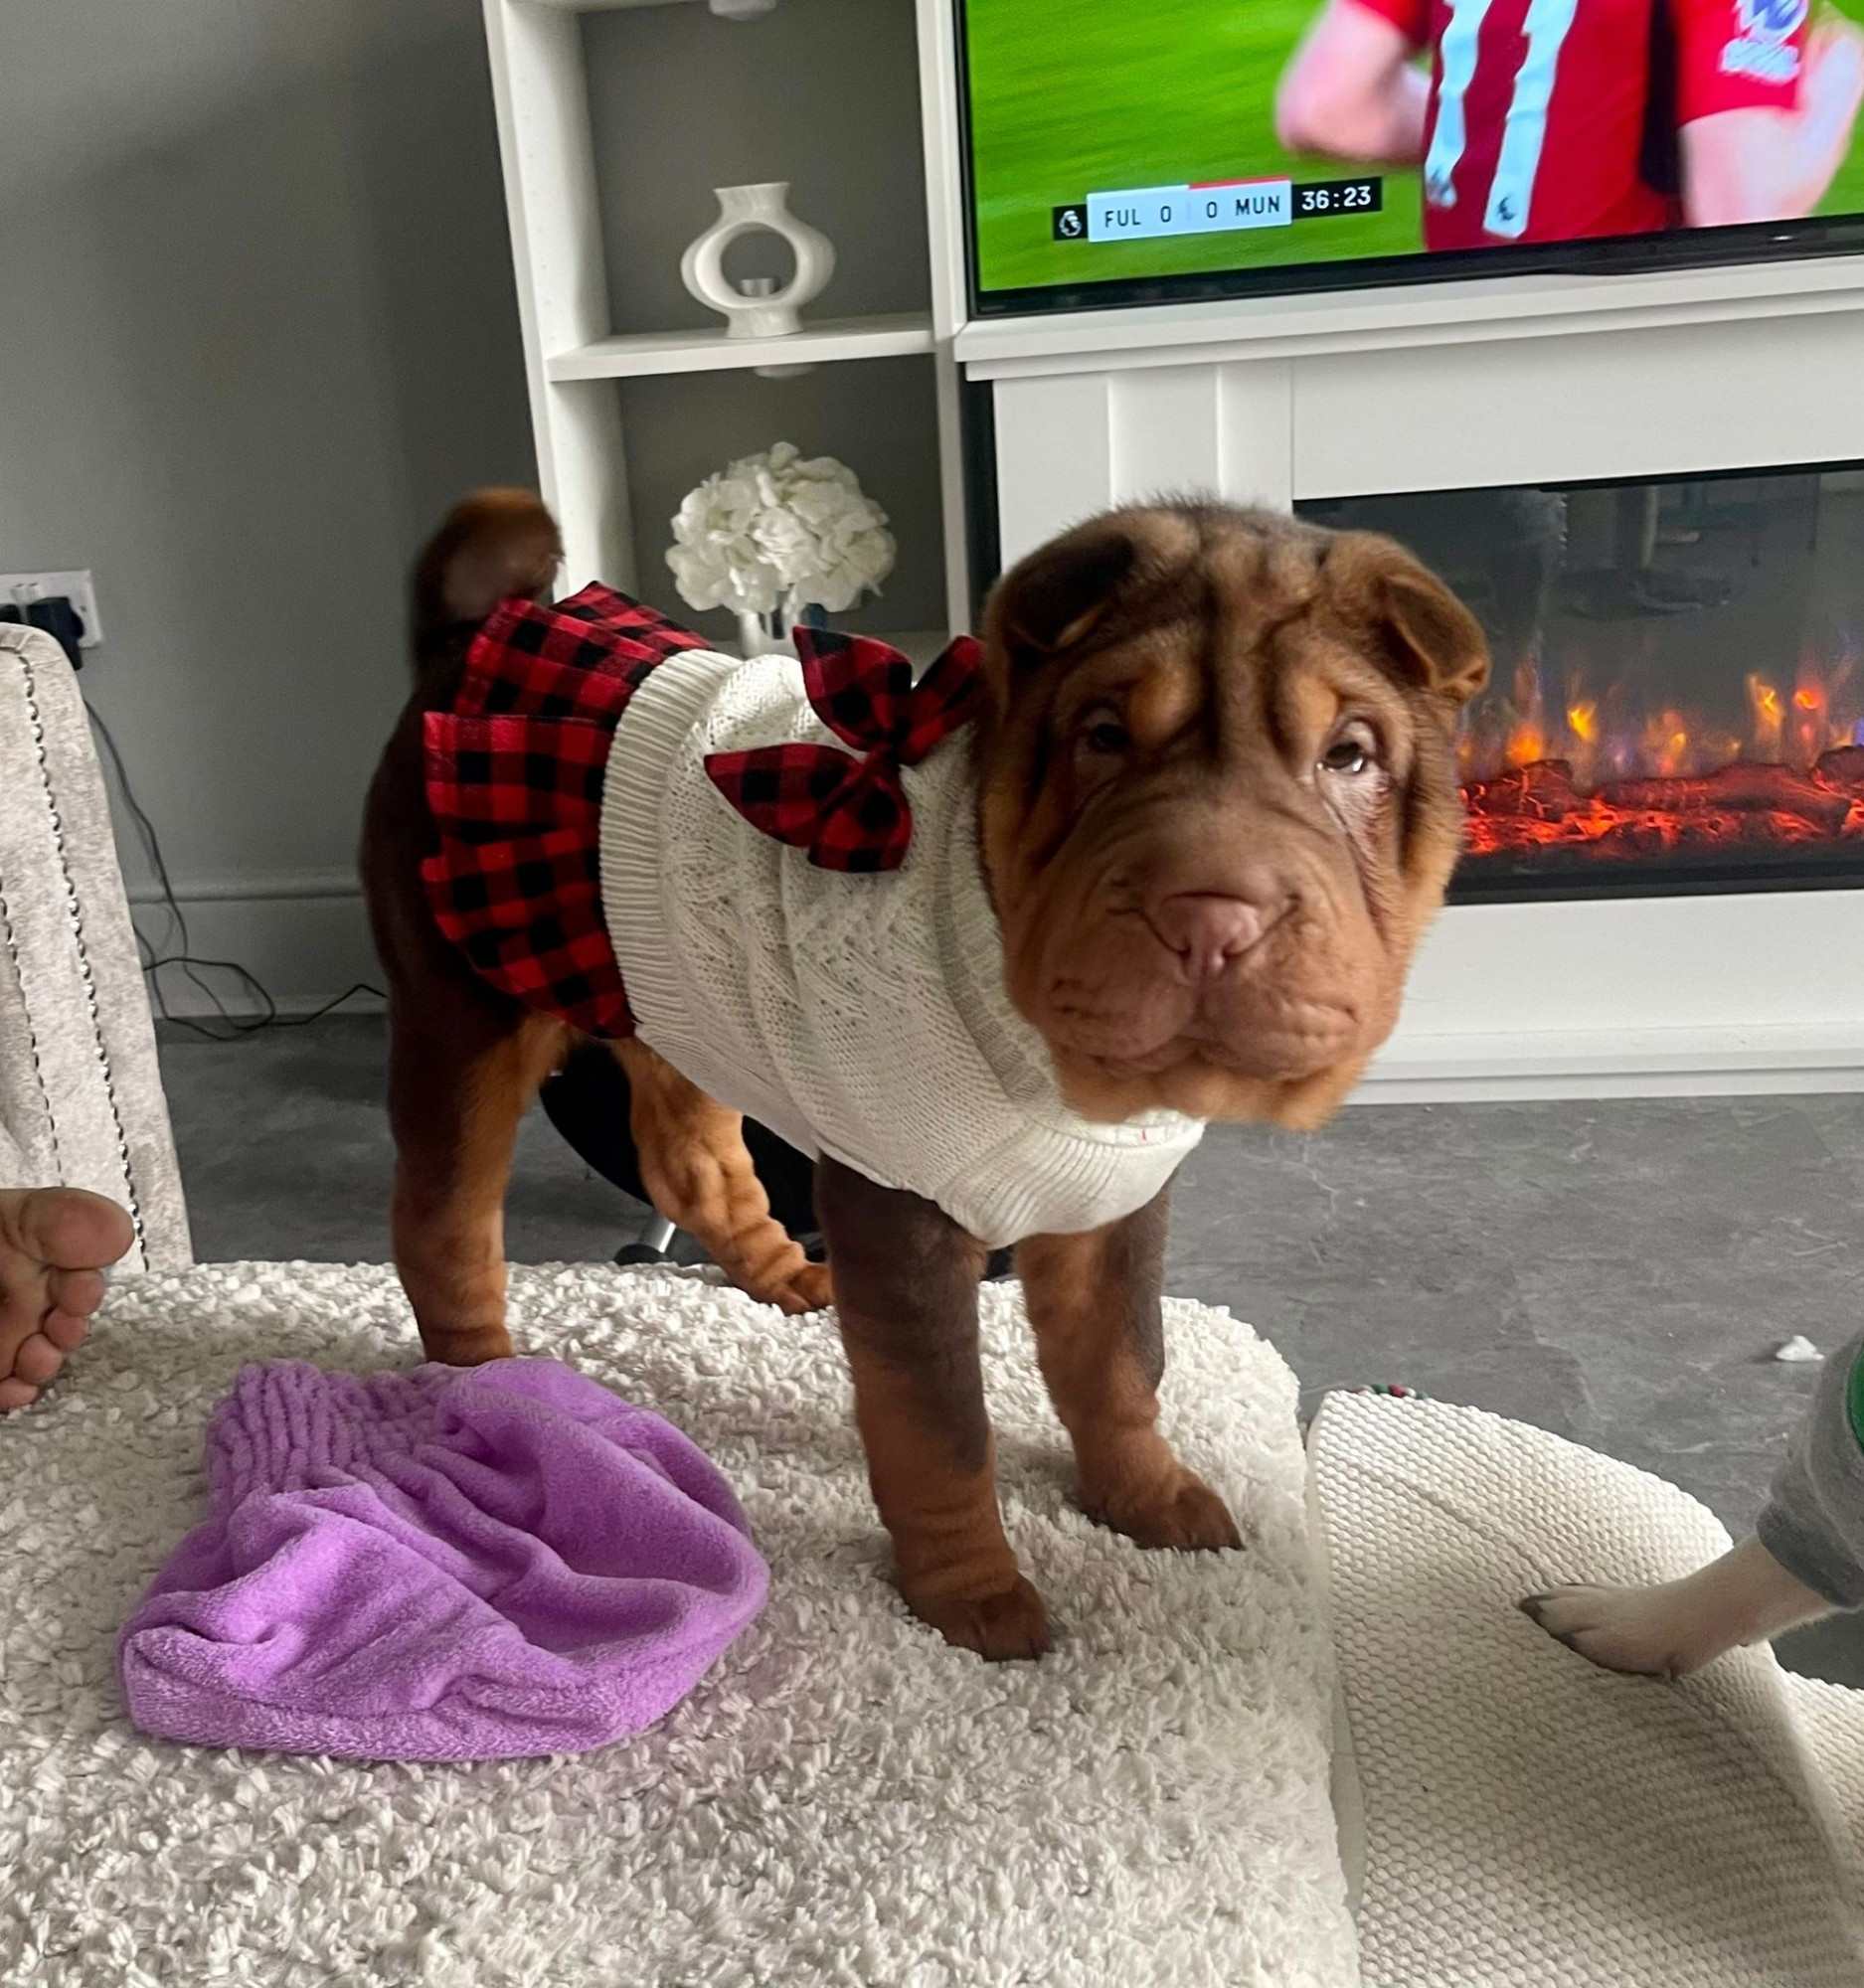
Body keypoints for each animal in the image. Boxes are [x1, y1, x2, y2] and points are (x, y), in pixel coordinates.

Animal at [363, 485, 1478, 1662]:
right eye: (1103, 737)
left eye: (1349, 756)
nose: (1211, 917)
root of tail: (472, 636)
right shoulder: (903, 1207)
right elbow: (940, 1427)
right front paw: (973, 1598)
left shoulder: (1111, 1203)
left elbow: (1121, 1360)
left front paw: (1147, 1496)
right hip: (466, 1015)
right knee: (443, 1216)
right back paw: (487, 1380)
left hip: (665, 996)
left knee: (689, 1160)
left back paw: (787, 1276)